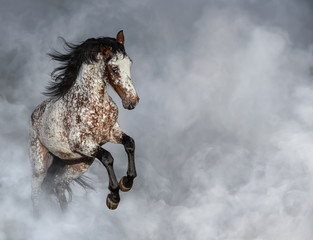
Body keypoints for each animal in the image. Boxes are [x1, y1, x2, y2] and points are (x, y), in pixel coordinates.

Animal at [29, 30, 139, 214]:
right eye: (114, 69)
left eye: (130, 63)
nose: (132, 101)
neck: (95, 104)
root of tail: (35, 114)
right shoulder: (81, 142)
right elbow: (108, 157)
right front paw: (114, 197)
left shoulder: (111, 132)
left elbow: (129, 143)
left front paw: (127, 182)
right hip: (40, 164)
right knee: (36, 191)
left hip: (79, 164)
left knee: (58, 184)